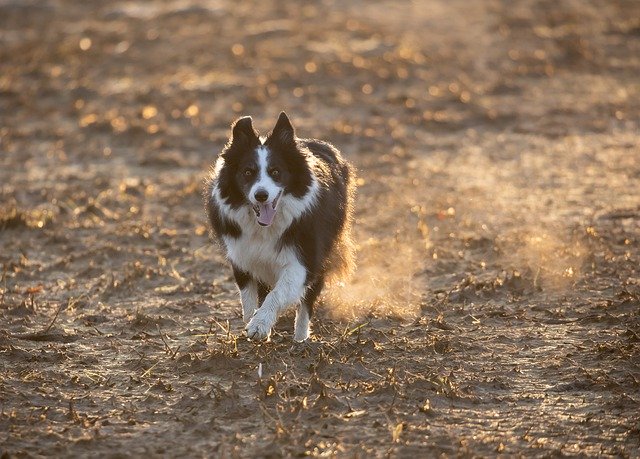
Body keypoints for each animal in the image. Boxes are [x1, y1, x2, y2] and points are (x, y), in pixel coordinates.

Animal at [205, 111, 356, 342]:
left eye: (276, 172)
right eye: (248, 172)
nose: (261, 195)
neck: (265, 227)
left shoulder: (303, 258)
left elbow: (278, 293)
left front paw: (259, 325)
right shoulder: (242, 256)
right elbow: (248, 301)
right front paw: (253, 324)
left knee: (306, 303)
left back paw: (301, 340)